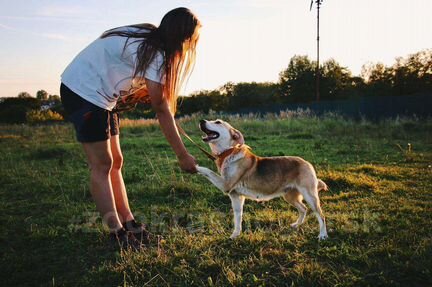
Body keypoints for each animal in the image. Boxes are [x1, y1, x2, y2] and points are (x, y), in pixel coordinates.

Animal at [194, 119, 330, 241]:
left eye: (218, 122)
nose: (201, 121)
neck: (229, 152)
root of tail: (307, 163)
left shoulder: (225, 184)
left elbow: (207, 170)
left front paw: (194, 166)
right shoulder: (236, 196)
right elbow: (237, 219)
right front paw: (235, 235)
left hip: (310, 196)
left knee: (321, 215)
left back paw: (322, 235)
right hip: (289, 196)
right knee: (303, 209)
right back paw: (297, 224)